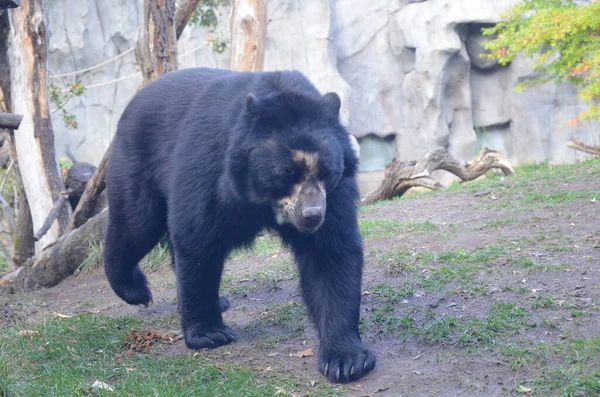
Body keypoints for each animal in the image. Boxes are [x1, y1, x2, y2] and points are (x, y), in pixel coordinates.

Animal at [103, 66, 376, 382]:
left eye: (326, 171)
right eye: (287, 174)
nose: (312, 215)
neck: (261, 199)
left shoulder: (335, 194)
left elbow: (331, 252)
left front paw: (347, 360)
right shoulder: (210, 167)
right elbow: (197, 239)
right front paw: (210, 334)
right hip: (138, 160)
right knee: (136, 223)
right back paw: (134, 289)